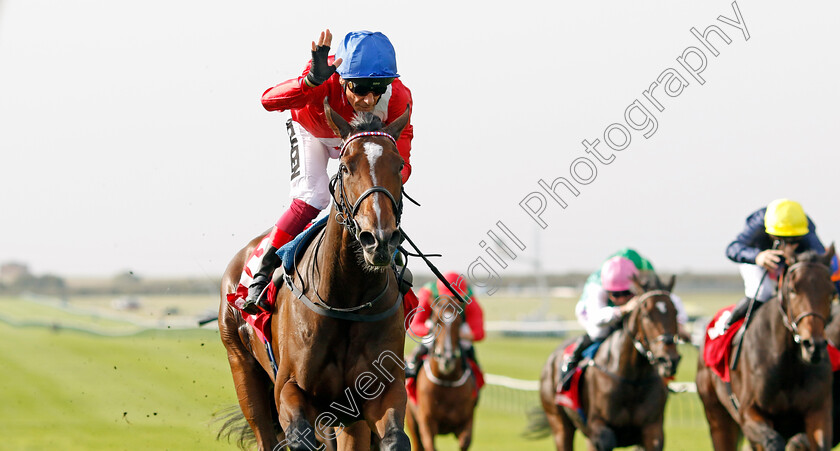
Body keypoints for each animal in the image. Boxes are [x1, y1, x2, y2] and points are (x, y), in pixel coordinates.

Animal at [218, 100, 412, 450]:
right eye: (346, 167)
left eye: (399, 165)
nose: (378, 239)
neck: (347, 300)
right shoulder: (289, 390)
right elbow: (299, 436)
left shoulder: (380, 391)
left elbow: (394, 438)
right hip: (243, 369)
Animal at [540, 276, 684, 451]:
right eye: (646, 314)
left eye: (675, 312)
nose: (669, 360)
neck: (632, 379)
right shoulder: (599, 429)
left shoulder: (653, 429)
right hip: (559, 424)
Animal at [692, 245, 836, 450]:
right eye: (792, 289)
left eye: (832, 292)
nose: (813, 345)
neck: (789, 365)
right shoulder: (748, 412)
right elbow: (773, 440)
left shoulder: (819, 412)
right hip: (717, 416)